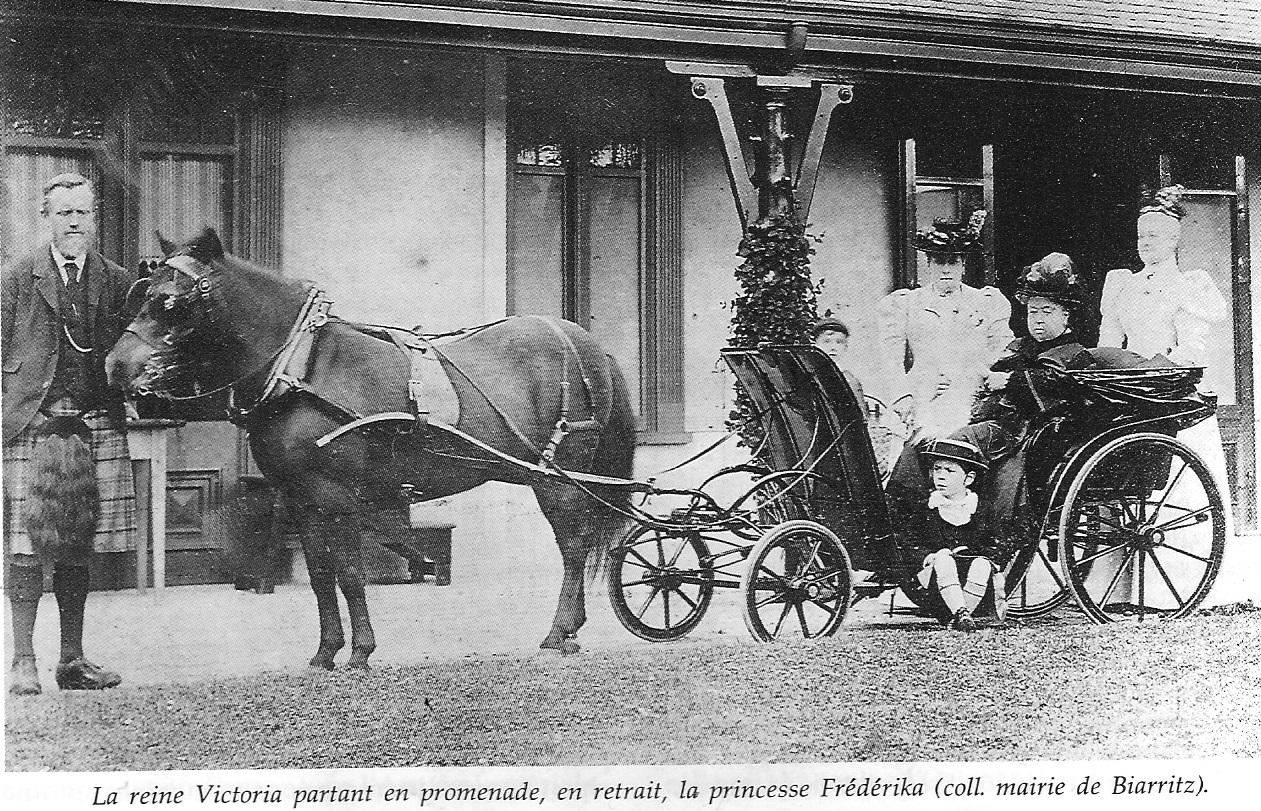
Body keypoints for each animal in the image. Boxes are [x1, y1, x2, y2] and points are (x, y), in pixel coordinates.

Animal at [105, 228, 636, 668]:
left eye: (172, 303)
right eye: (143, 295)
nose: (117, 366)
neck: (304, 367)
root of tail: (584, 342)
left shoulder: (338, 497)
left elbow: (350, 573)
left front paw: (360, 651)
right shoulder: (302, 499)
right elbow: (321, 576)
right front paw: (325, 652)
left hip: (560, 477)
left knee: (573, 548)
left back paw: (560, 632)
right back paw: (569, 631)